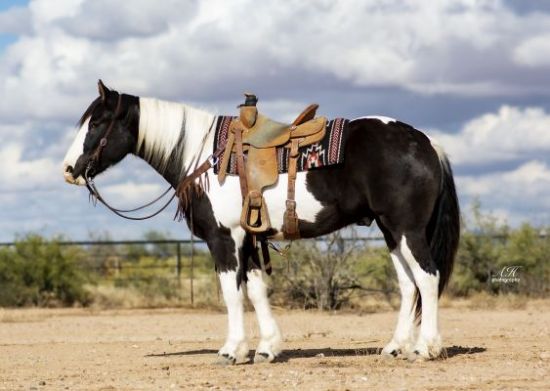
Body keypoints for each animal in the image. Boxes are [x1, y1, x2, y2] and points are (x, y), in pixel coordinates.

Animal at [63, 81, 462, 366]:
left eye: (96, 122)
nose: (69, 170)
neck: (205, 155)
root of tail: (426, 142)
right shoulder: (249, 239)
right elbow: (256, 291)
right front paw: (268, 348)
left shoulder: (224, 239)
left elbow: (232, 293)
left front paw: (231, 350)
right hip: (391, 231)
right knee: (408, 285)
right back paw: (396, 347)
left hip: (407, 230)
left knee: (427, 278)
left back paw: (426, 348)